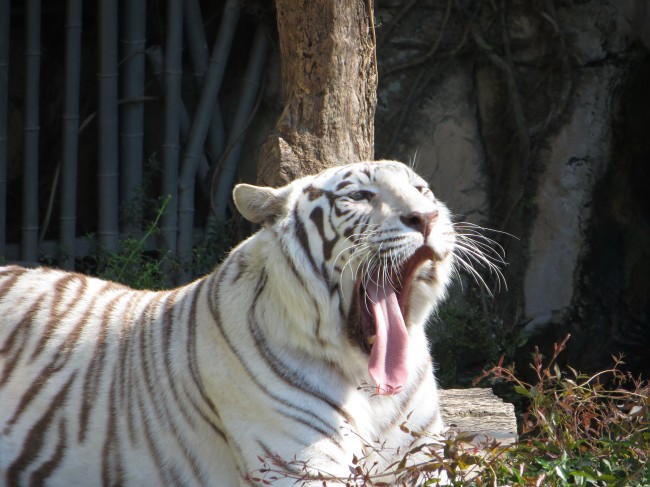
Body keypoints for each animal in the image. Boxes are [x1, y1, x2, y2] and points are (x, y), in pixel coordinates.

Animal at [0, 160, 486, 484]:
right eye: (359, 197)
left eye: (422, 190)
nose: (426, 217)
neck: (368, 385)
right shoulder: (301, 464)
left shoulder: (425, 459)